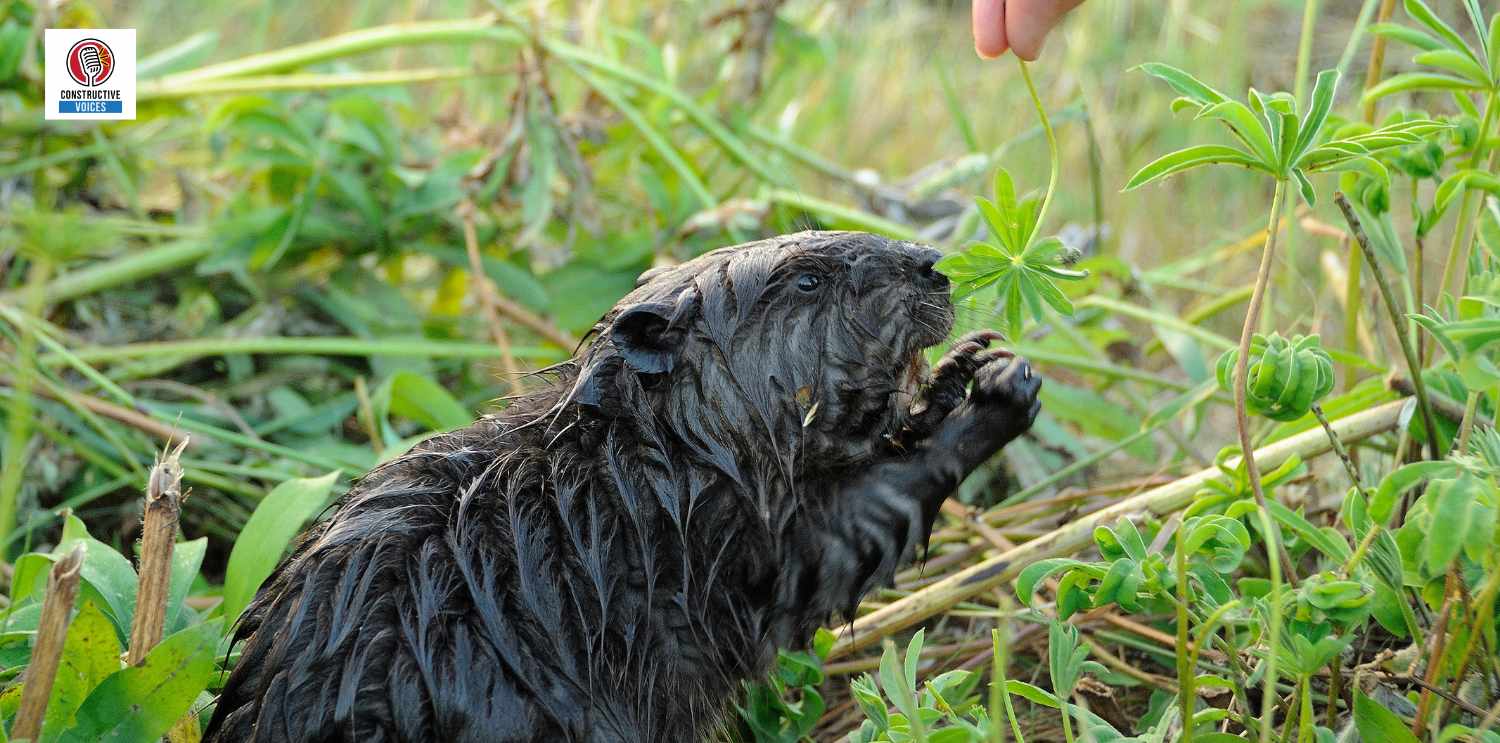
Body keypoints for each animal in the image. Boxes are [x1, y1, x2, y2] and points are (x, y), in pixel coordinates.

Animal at [199, 229, 1044, 741]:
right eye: (807, 279)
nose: (932, 263)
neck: (639, 450)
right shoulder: (703, 531)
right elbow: (832, 549)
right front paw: (1002, 388)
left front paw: (965, 362)